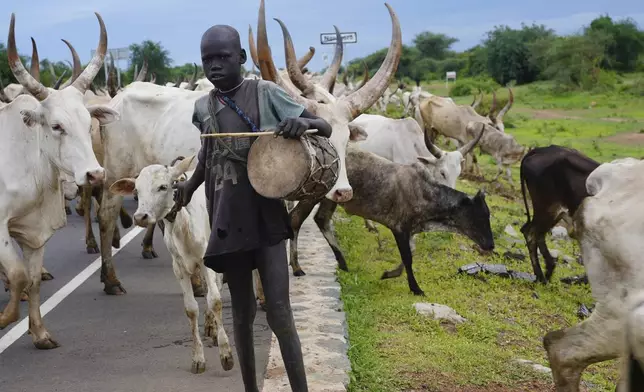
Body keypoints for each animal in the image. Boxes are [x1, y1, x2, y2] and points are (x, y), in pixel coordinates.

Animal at [0, 13, 115, 350]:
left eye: (89, 123)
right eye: (56, 126)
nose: (95, 175)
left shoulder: (35, 230)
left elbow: (32, 279)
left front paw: (39, 333)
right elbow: (18, 275)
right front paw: (5, 317)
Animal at [110, 155, 234, 374]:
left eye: (162, 187)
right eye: (136, 191)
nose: (140, 217)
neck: (183, 224)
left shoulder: (206, 262)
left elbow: (215, 301)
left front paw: (225, 354)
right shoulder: (179, 268)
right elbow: (191, 309)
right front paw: (198, 359)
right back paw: (210, 325)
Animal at [286, 145, 494, 296]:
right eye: (477, 217)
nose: (491, 245)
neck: (426, 194)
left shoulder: (411, 230)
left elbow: (411, 253)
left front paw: (389, 274)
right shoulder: (399, 227)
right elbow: (408, 257)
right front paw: (416, 288)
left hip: (332, 198)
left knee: (321, 219)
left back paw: (342, 262)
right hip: (312, 196)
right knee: (295, 219)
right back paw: (296, 266)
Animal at [520, 145, 600, 284]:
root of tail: (540, 149)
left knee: (536, 233)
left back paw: (548, 269)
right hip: (548, 208)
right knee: (530, 232)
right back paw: (542, 276)